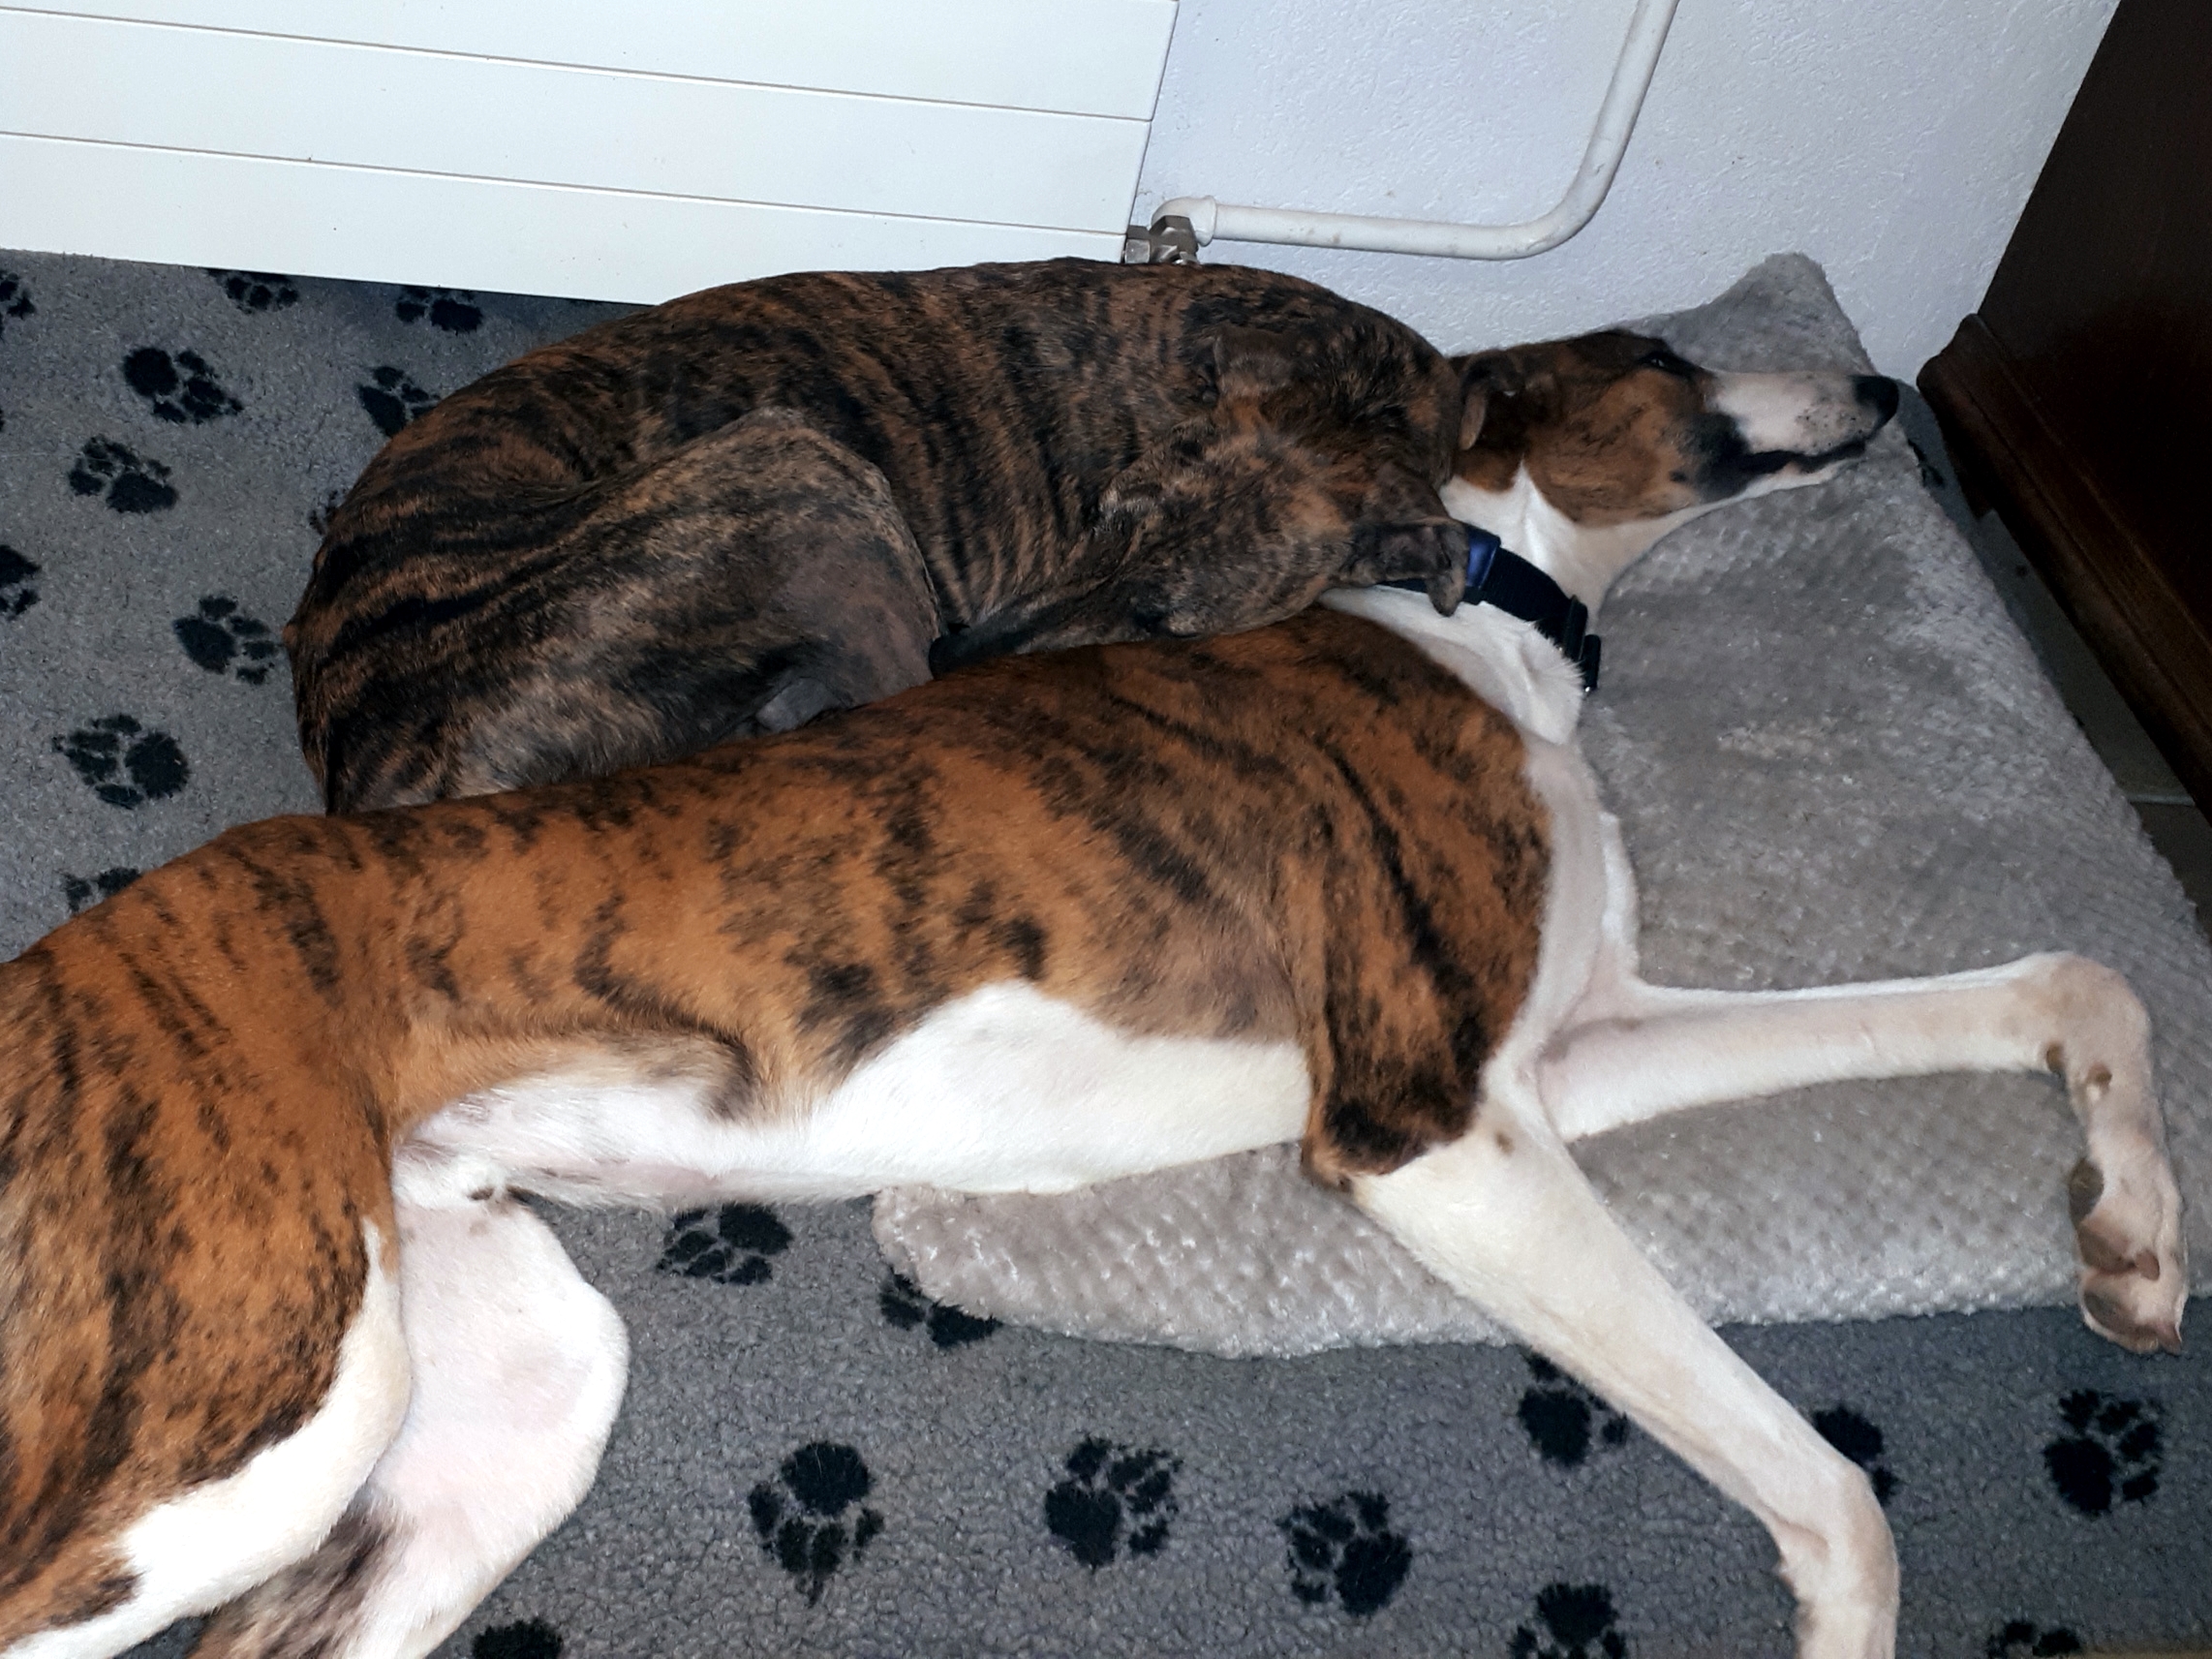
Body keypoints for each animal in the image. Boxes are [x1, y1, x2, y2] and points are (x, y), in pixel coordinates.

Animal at [0, 330, 2184, 1659]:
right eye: (1660, 354)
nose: (1886, 378)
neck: (1475, 612)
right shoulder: (1430, 1125)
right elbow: (1829, 1484)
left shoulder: (1573, 1057)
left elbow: (2060, 970)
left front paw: (2133, 1233)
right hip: (256, 1404)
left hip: (493, 1394)